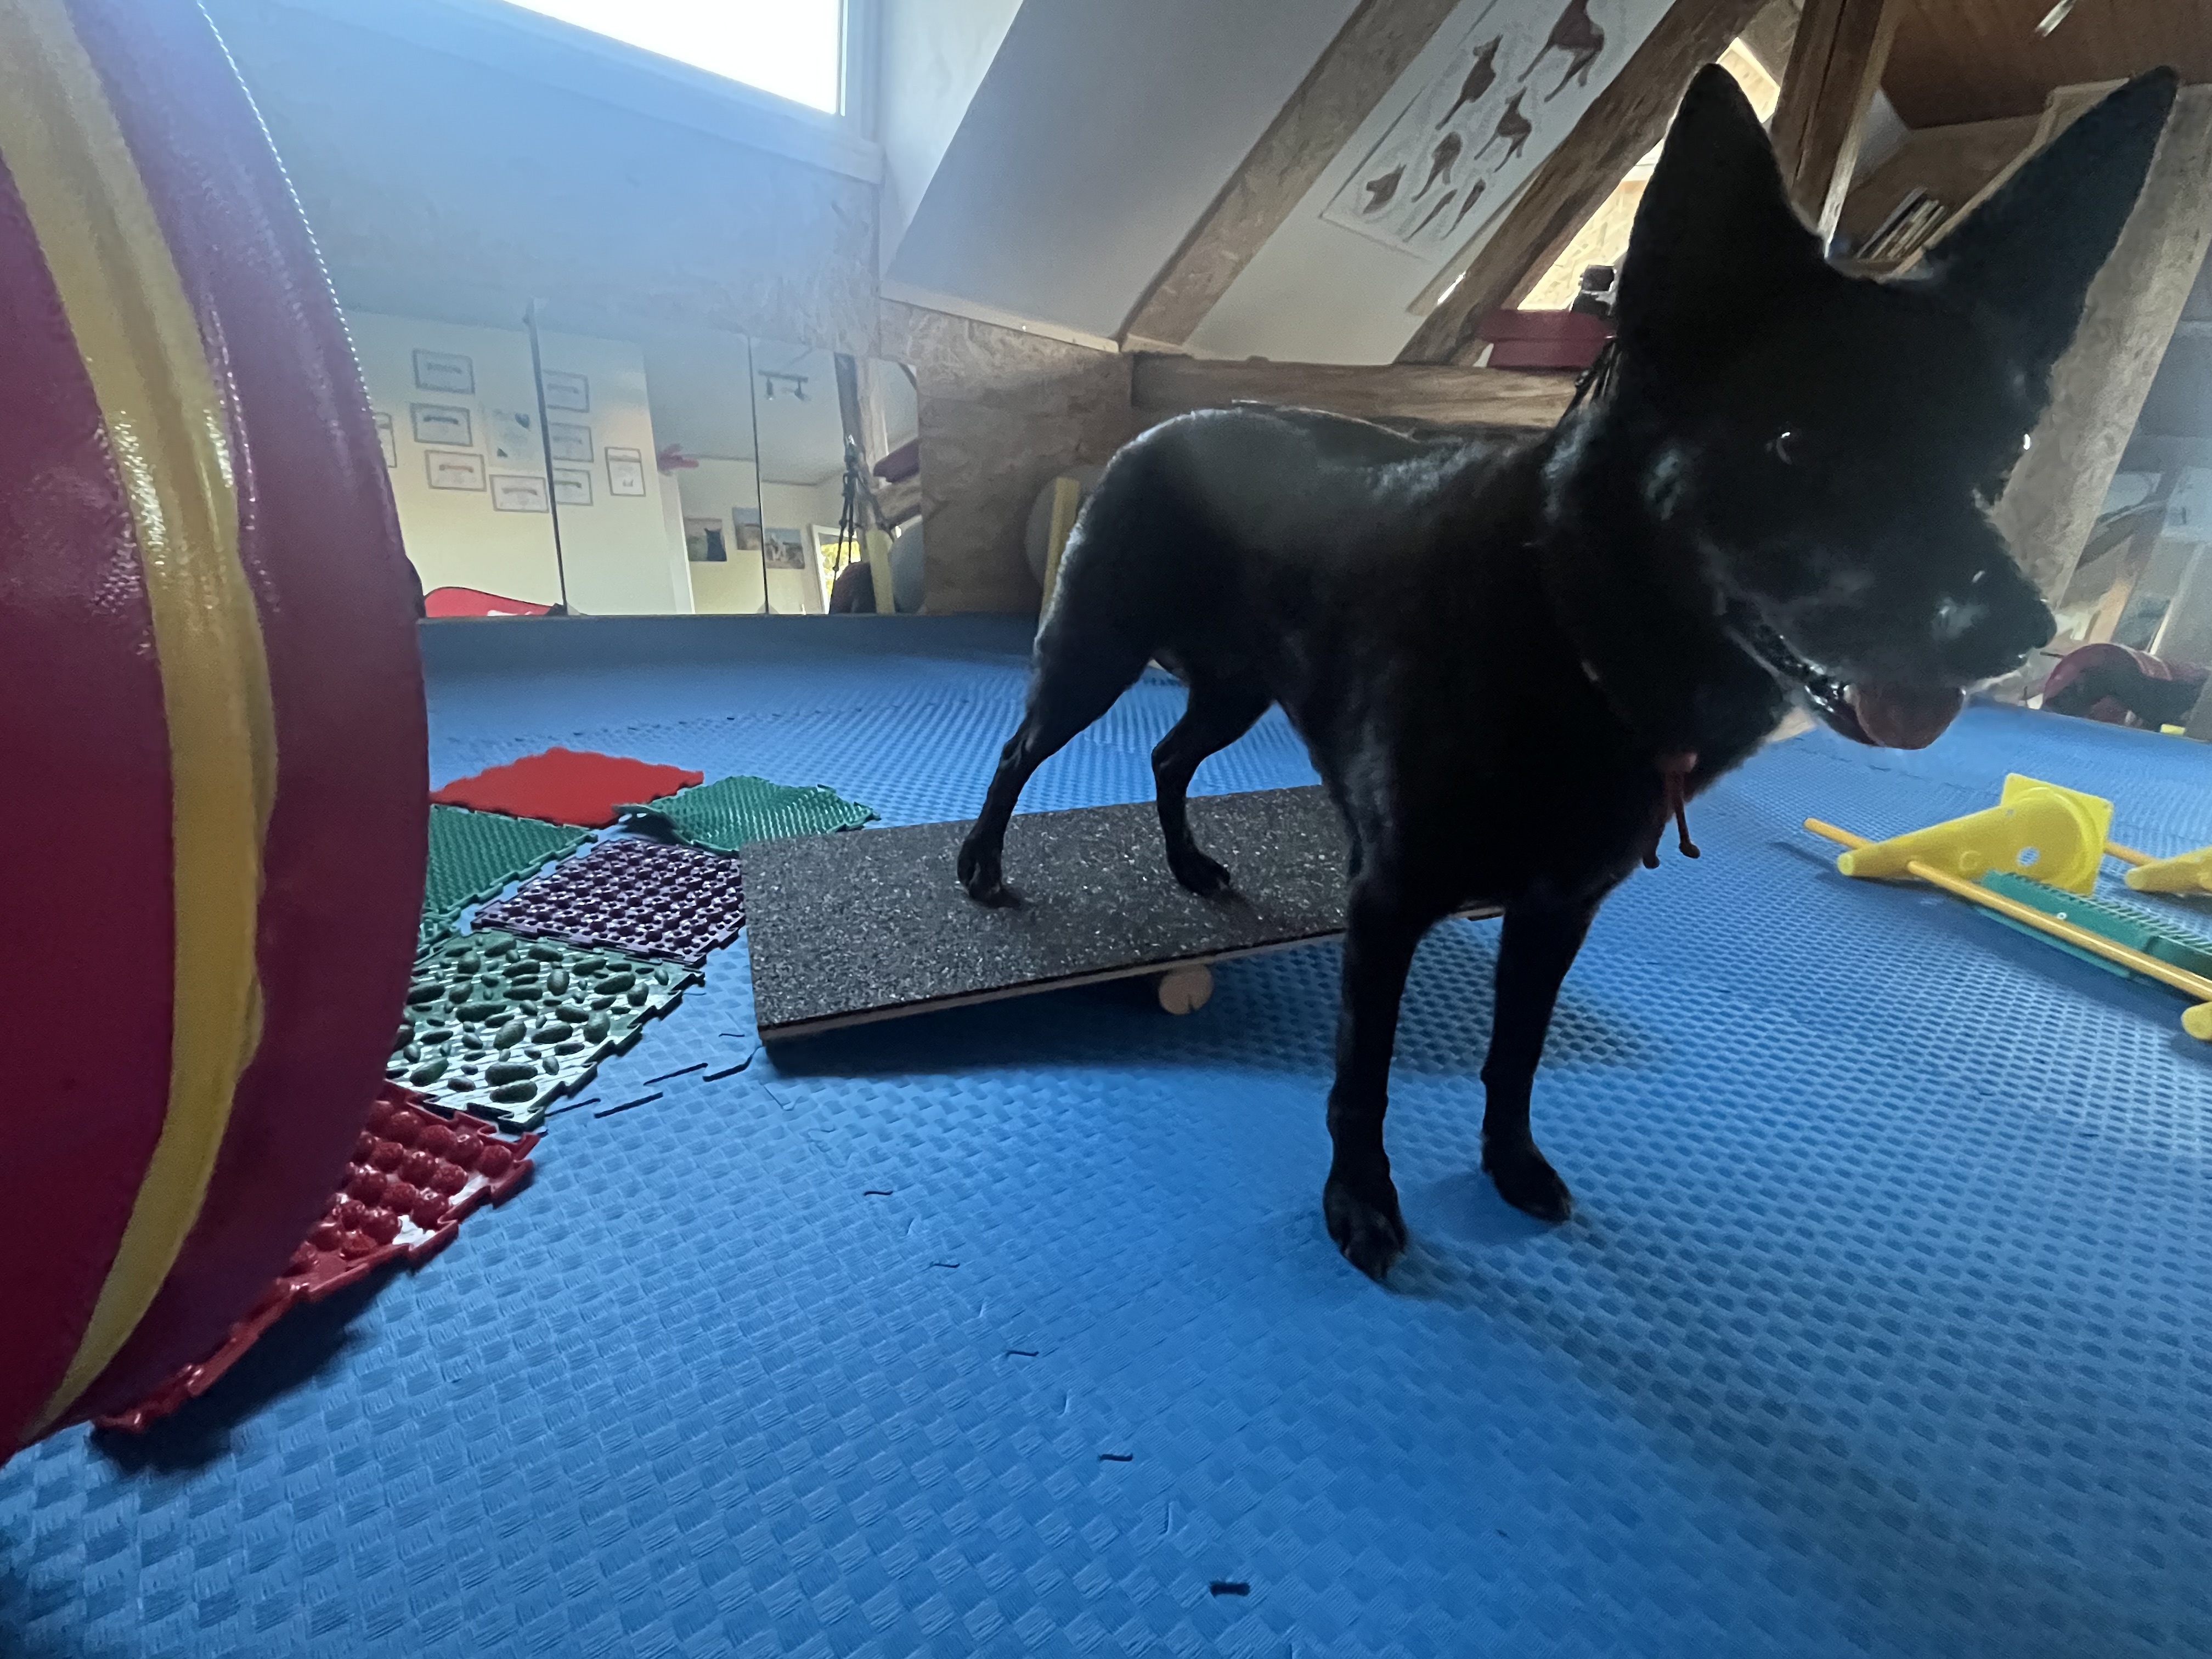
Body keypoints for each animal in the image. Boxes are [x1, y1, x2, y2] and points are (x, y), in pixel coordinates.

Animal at [958, 67, 2176, 1280]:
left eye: (2005, 455)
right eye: (1793, 443)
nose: (2017, 628)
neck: (1572, 634)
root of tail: (1164, 423)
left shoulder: (1558, 913)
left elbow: (1517, 1058)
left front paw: (1510, 1168)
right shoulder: (1387, 902)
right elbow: (1363, 1080)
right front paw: (1360, 1203)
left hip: (1236, 686)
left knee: (1168, 754)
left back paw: (1190, 865)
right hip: (1095, 655)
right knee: (1018, 751)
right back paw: (981, 868)